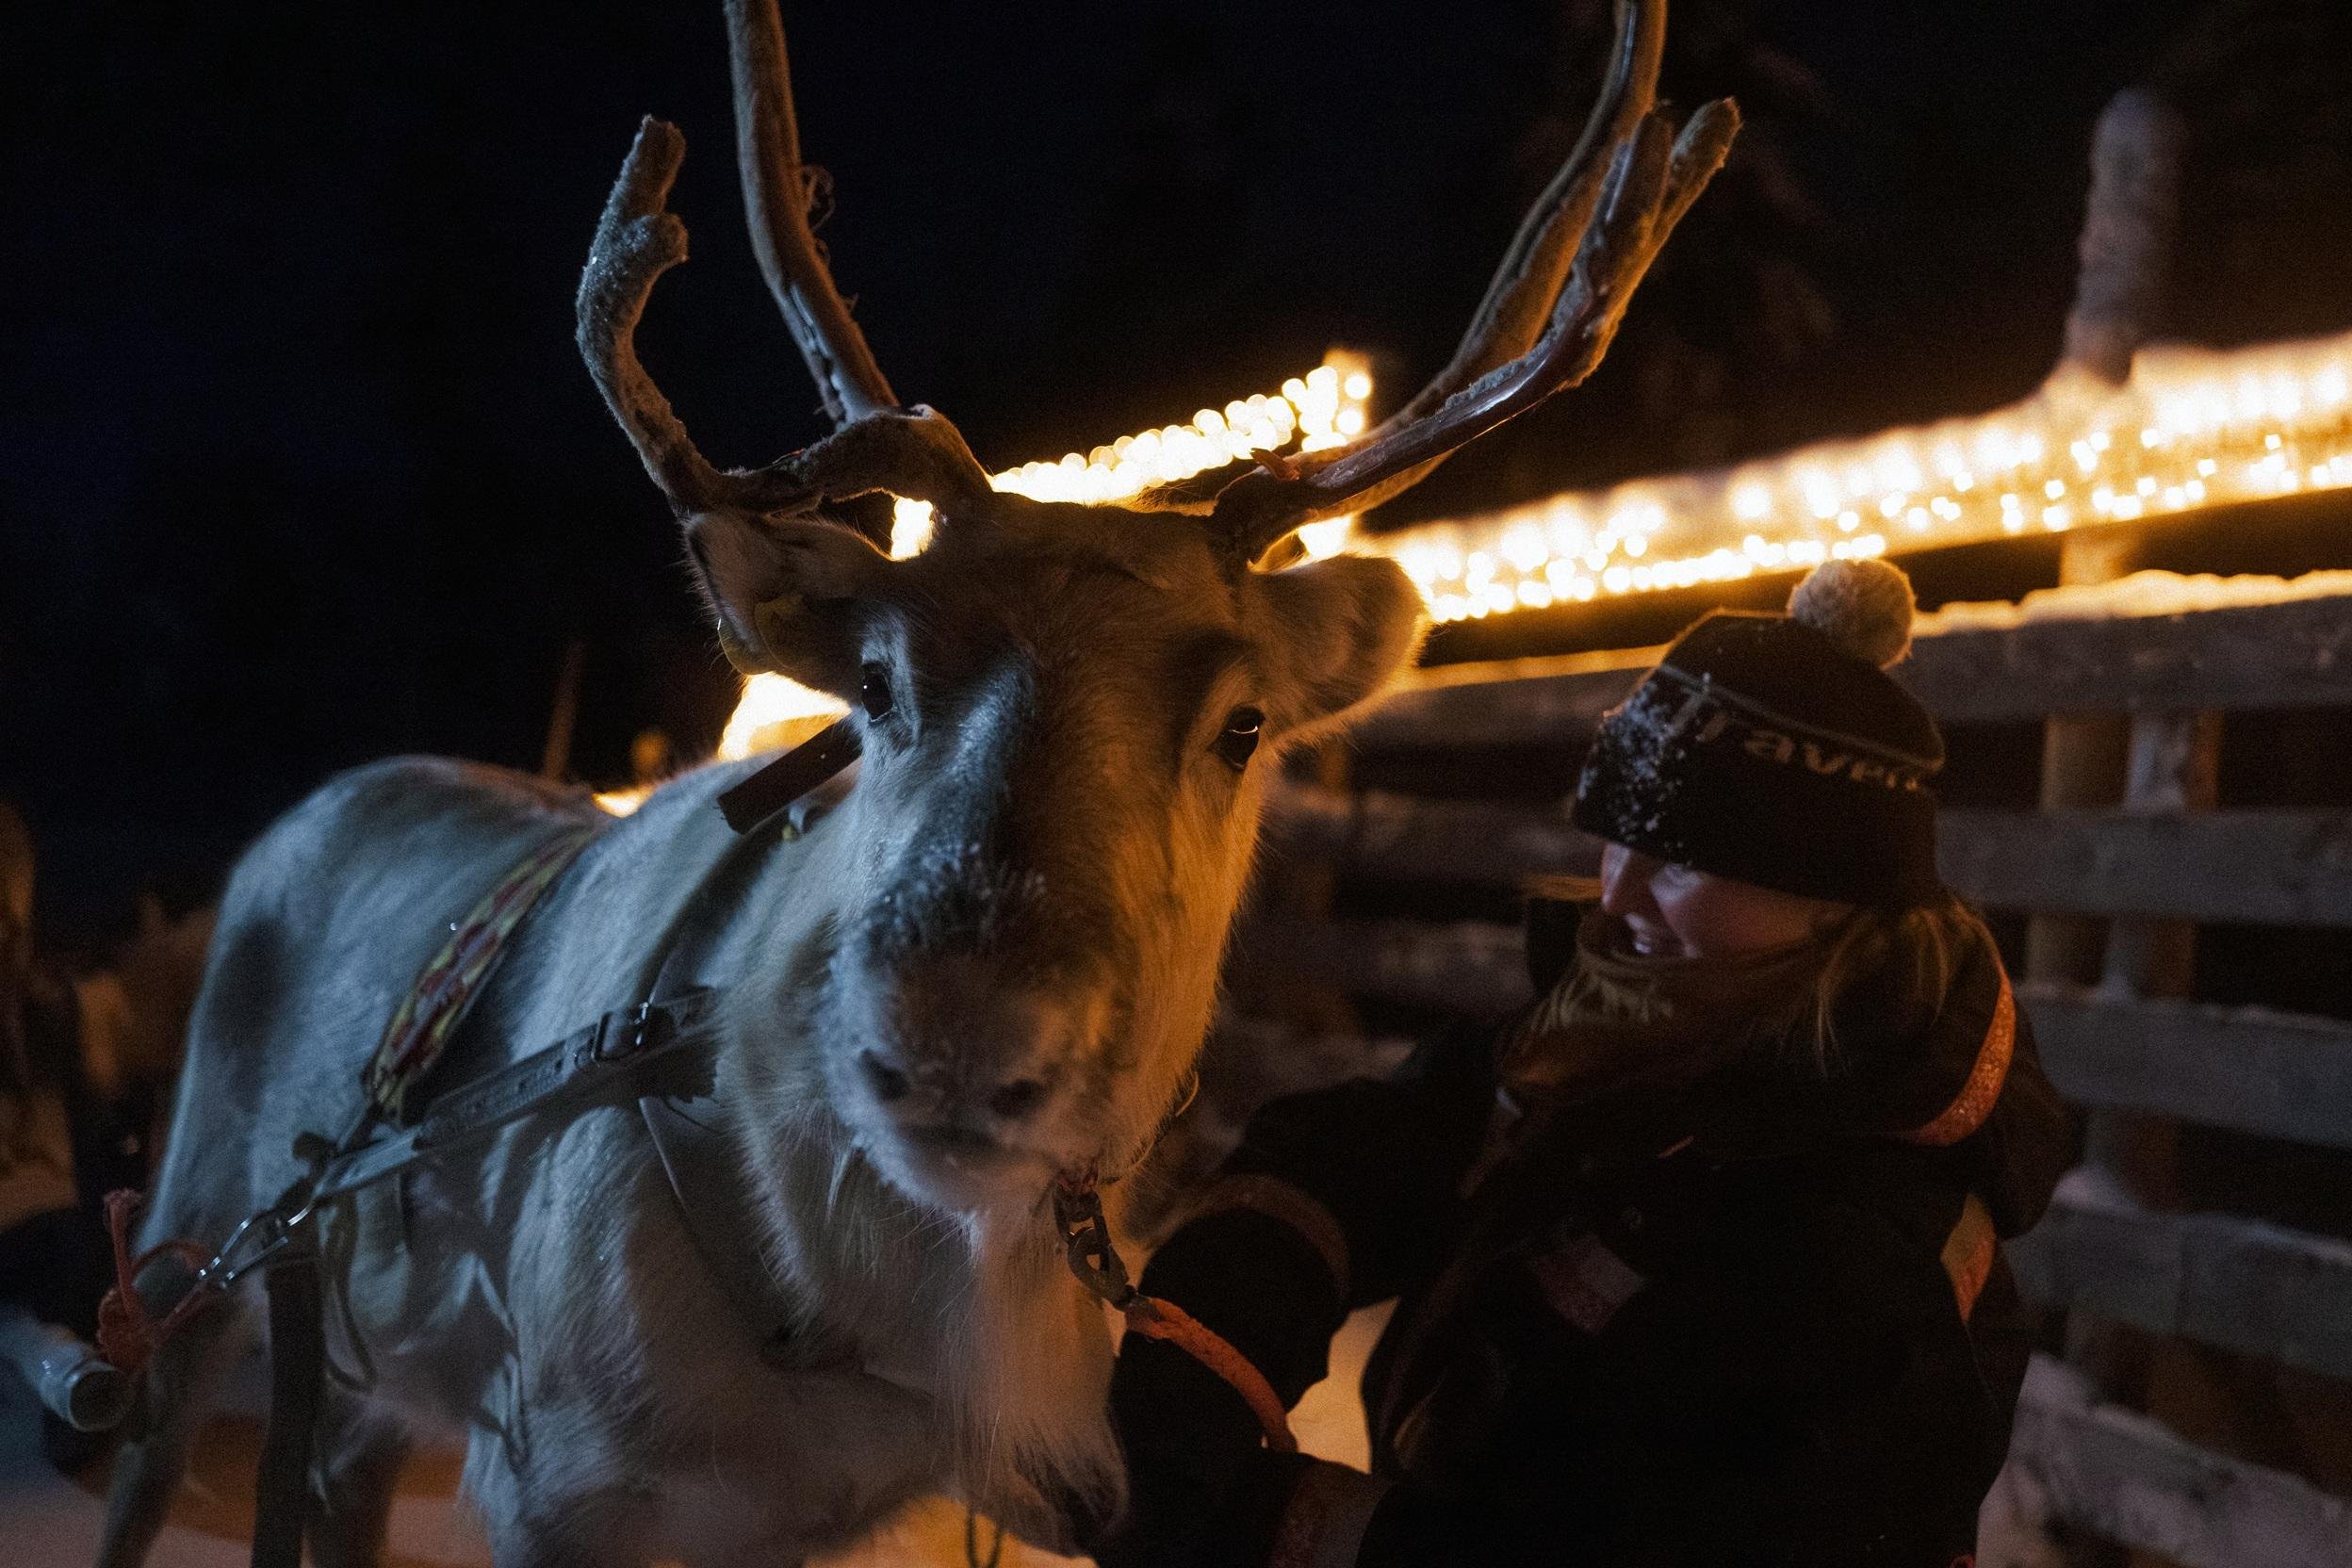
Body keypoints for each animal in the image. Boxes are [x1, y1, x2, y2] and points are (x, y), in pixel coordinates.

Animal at [96, 3, 1731, 1564]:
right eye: (874, 684)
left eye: (1245, 724)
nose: (958, 1042)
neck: (850, 1322)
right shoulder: (555, 1482)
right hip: (188, 1257)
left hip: (362, 1369)